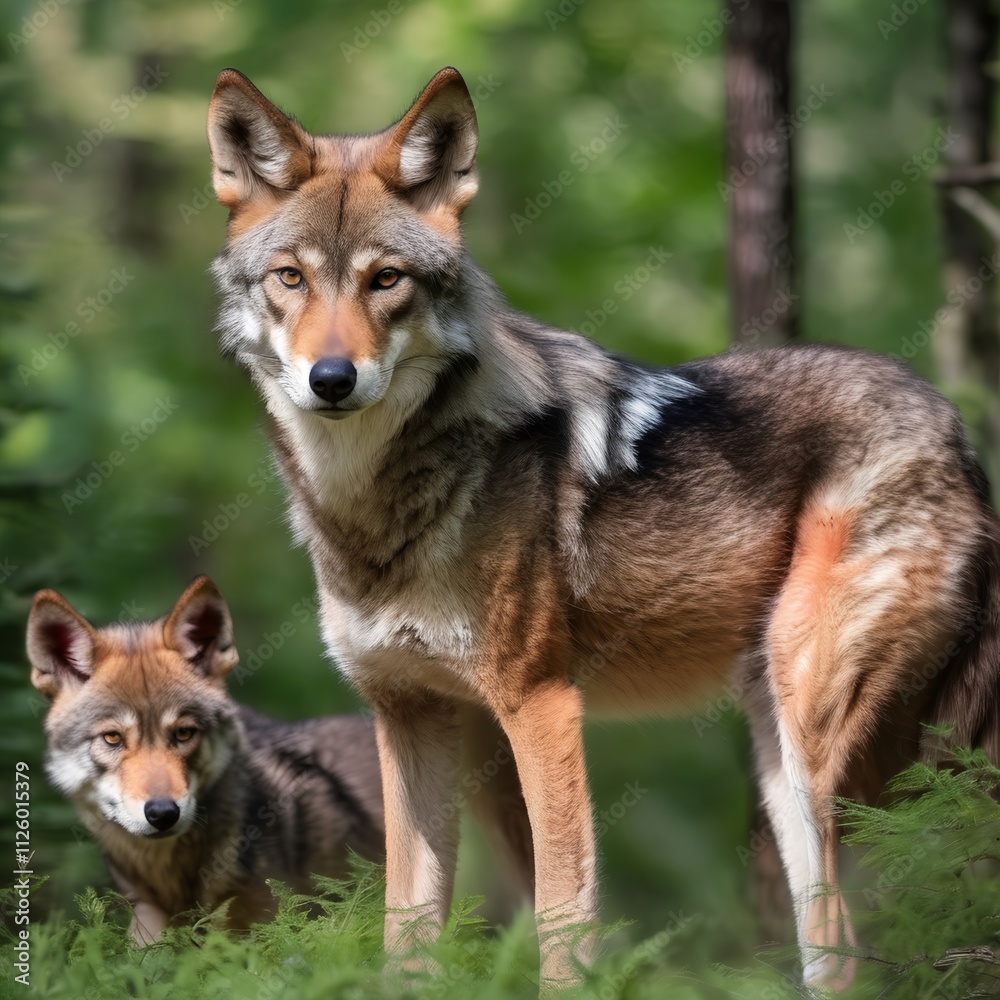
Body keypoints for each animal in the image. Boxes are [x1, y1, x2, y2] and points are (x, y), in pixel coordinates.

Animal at [206, 66, 1000, 988]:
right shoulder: (411, 717)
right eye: (291, 279)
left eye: (386, 280)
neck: (375, 514)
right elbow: (406, 933)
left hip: (824, 747)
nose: (332, 379)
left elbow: (562, 918)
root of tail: (955, 431)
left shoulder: (541, 706)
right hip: (786, 765)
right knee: (831, 944)